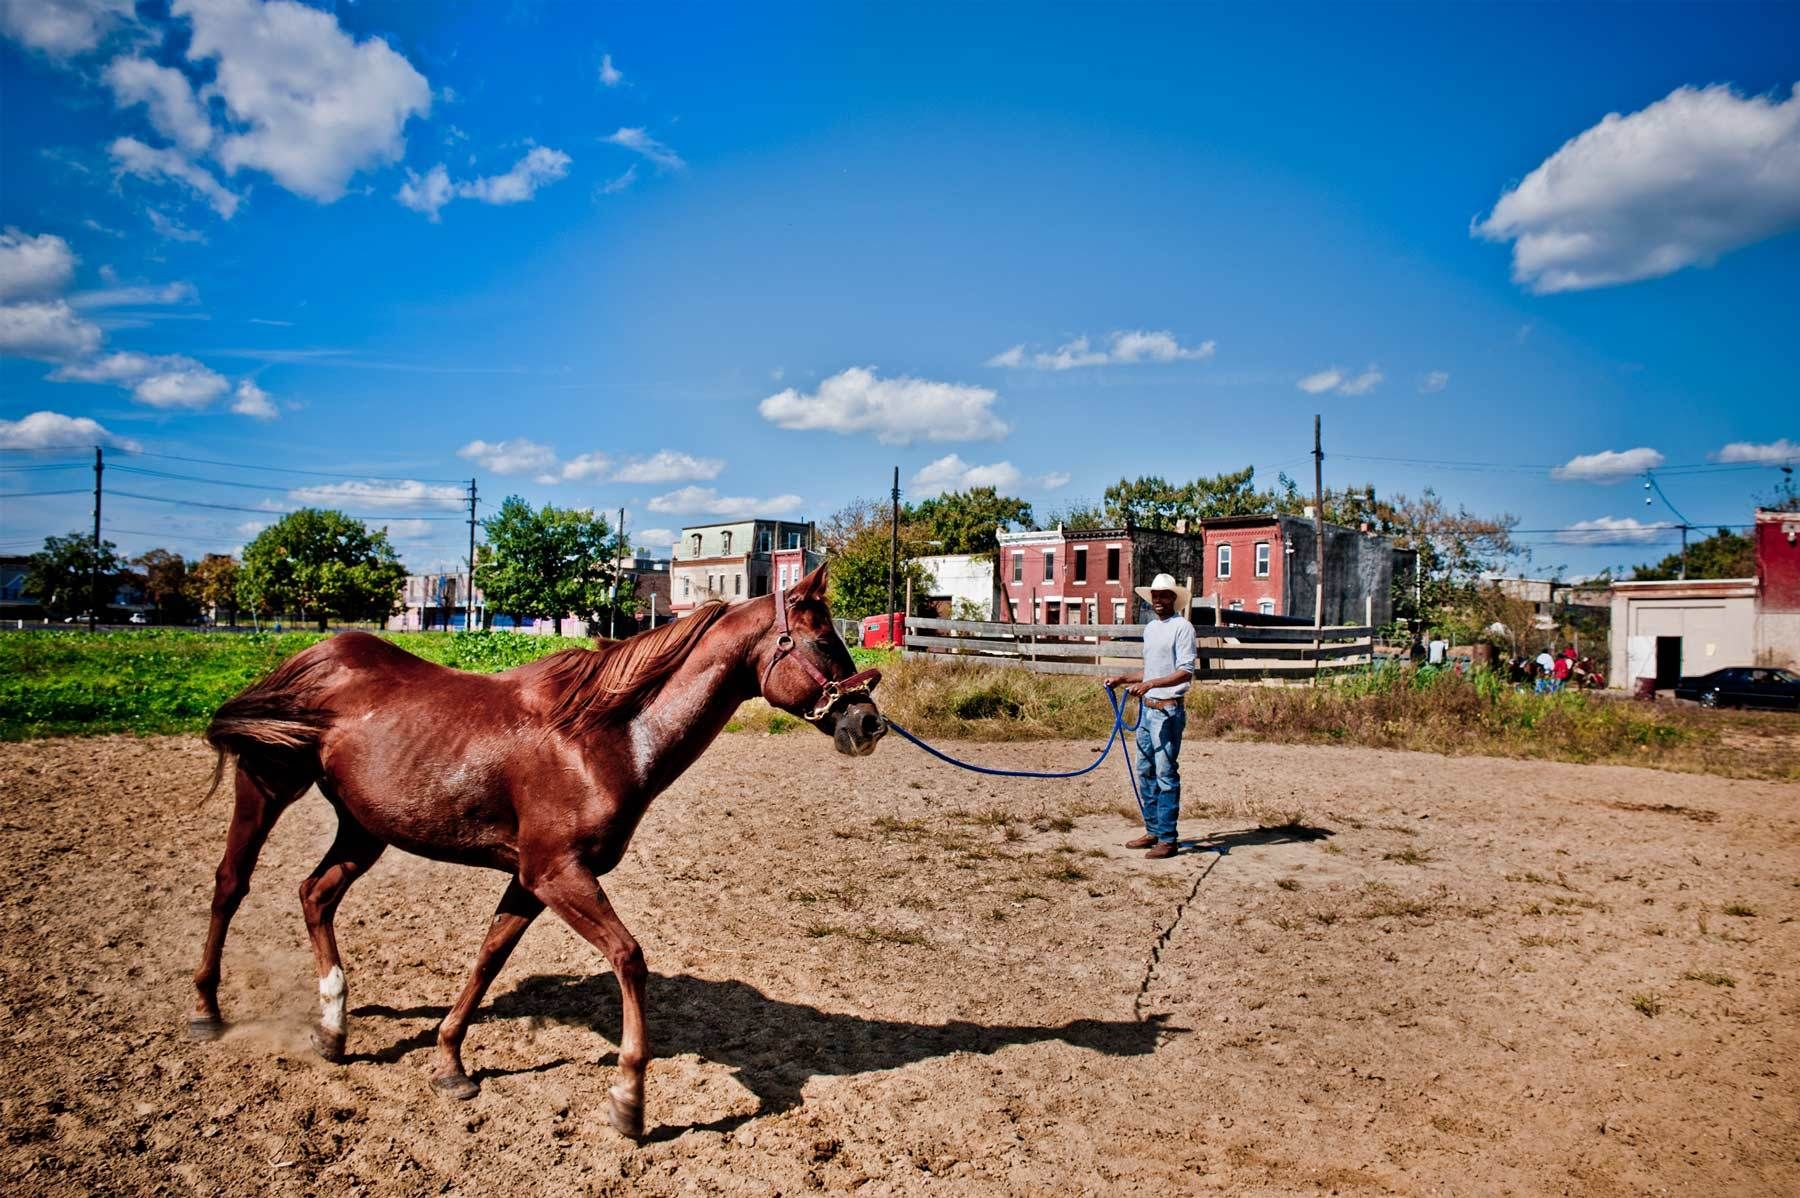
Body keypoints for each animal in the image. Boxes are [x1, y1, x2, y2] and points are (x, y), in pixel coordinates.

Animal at [188, 563, 884, 1140]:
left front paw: (450, 1063)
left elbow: (488, 959)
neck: (606, 736)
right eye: (826, 642)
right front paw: (629, 1100)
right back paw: (206, 1010)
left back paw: (334, 1027)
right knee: (231, 883)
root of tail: (315, 654)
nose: (868, 723)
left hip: (364, 828)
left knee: (316, 894)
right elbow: (629, 958)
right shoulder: (557, 873)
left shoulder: (529, 879)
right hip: (266, 787)